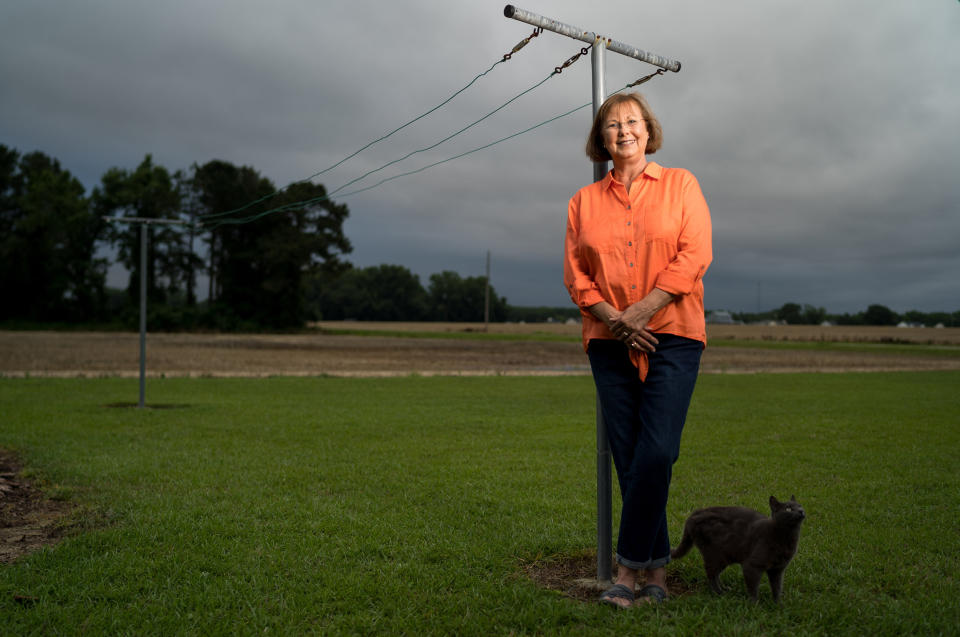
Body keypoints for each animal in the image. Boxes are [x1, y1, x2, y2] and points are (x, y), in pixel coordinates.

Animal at [672, 494, 808, 604]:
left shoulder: (778, 569)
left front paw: (778, 604)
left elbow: (777, 587)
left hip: (724, 557)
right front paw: (754, 605)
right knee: (710, 574)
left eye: (800, 505)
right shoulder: (752, 565)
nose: (801, 511)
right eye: (788, 508)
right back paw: (719, 593)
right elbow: (753, 588)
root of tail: (694, 513)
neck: (787, 538)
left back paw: (724, 588)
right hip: (715, 554)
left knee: (715, 574)